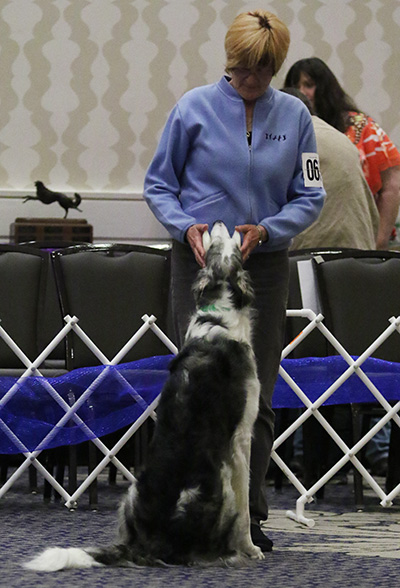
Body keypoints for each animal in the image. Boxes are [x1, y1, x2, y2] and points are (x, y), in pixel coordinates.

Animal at [24, 220, 262, 568]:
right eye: (217, 242)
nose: (215, 222)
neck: (217, 312)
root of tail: (146, 544)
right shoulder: (241, 438)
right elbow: (245, 509)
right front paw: (251, 548)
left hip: (132, 491)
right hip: (219, 482)